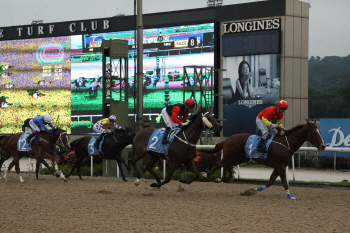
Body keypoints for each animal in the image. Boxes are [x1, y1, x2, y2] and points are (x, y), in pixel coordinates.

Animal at [197, 121, 326, 199]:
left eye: (319, 131)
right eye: (313, 132)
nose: (323, 146)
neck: (286, 143)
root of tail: (227, 139)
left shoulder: (278, 166)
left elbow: (270, 182)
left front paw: (252, 190)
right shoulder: (281, 166)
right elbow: (284, 182)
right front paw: (290, 196)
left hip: (237, 159)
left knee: (224, 166)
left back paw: (221, 179)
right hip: (231, 157)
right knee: (219, 164)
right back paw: (206, 174)